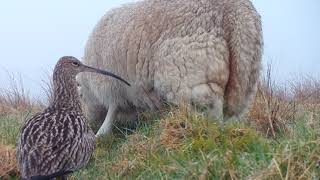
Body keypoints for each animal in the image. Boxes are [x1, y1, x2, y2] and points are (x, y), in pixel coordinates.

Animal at [77, 0, 262, 136]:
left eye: (79, 95)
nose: (88, 123)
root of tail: (236, 12)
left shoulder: (111, 87)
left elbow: (112, 111)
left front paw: (101, 134)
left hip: (189, 72)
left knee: (210, 106)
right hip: (245, 80)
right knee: (233, 113)